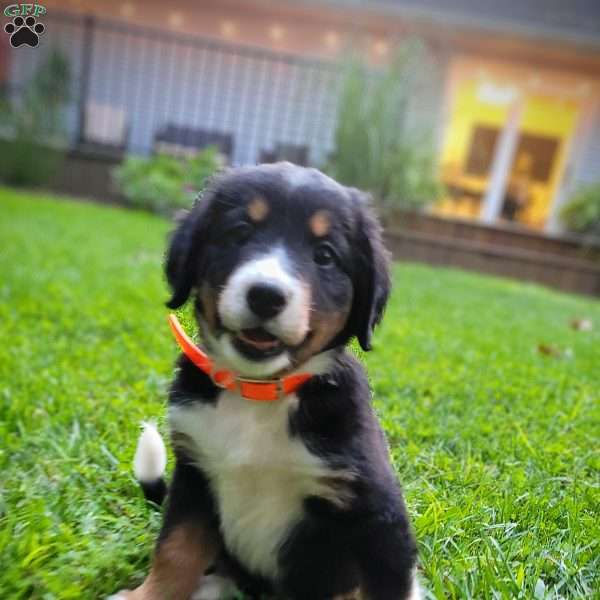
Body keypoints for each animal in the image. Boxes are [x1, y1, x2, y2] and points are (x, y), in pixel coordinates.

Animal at [115, 164, 420, 600]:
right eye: (240, 232)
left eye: (324, 255)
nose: (265, 295)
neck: (258, 393)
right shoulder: (194, 475)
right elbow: (176, 549)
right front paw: (150, 595)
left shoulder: (376, 512)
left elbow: (391, 586)